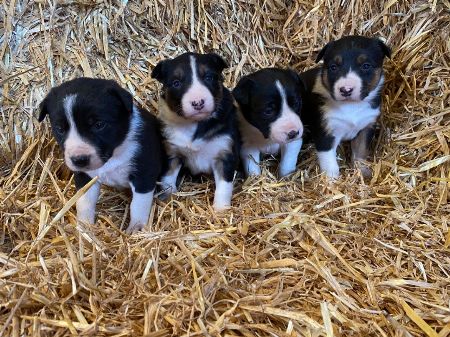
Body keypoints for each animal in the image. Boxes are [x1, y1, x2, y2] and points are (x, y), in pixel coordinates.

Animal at [38, 77, 165, 232]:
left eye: (99, 125)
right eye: (60, 129)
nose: (79, 160)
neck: (113, 156)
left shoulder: (144, 173)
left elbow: (139, 204)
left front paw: (137, 228)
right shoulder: (85, 177)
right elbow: (84, 203)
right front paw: (84, 228)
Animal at [150, 52, 239, 210]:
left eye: (208, 77)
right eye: (176, 83)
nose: (198, 102)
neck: (193, 124)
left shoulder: (225, 154)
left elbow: (224, 186)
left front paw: (220, 209)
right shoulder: (171, 153)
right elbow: (167, 179)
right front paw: (168, 199)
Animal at [300, 35, 392, 178]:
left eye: (366, 66)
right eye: (333, 67)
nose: (346, 89)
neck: (351, 106)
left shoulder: (366, 127)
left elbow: (360, 152)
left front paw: (362, 172)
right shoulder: (325, 131)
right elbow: (329, 162)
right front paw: (331, 180)